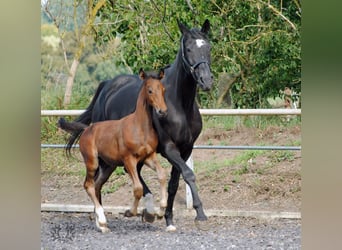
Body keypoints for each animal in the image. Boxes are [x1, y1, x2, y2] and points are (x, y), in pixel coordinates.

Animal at [65, 19, 212, 230]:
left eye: (208, 47)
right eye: (189, 49)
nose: (206, 81)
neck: (180, 104)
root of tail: (107, 86)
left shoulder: (185, 149)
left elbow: (174, 183)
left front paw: (169, 220)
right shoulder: (168, 148)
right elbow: (188, 174)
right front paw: (200, 214)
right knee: (105, 177)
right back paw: (117, 215)